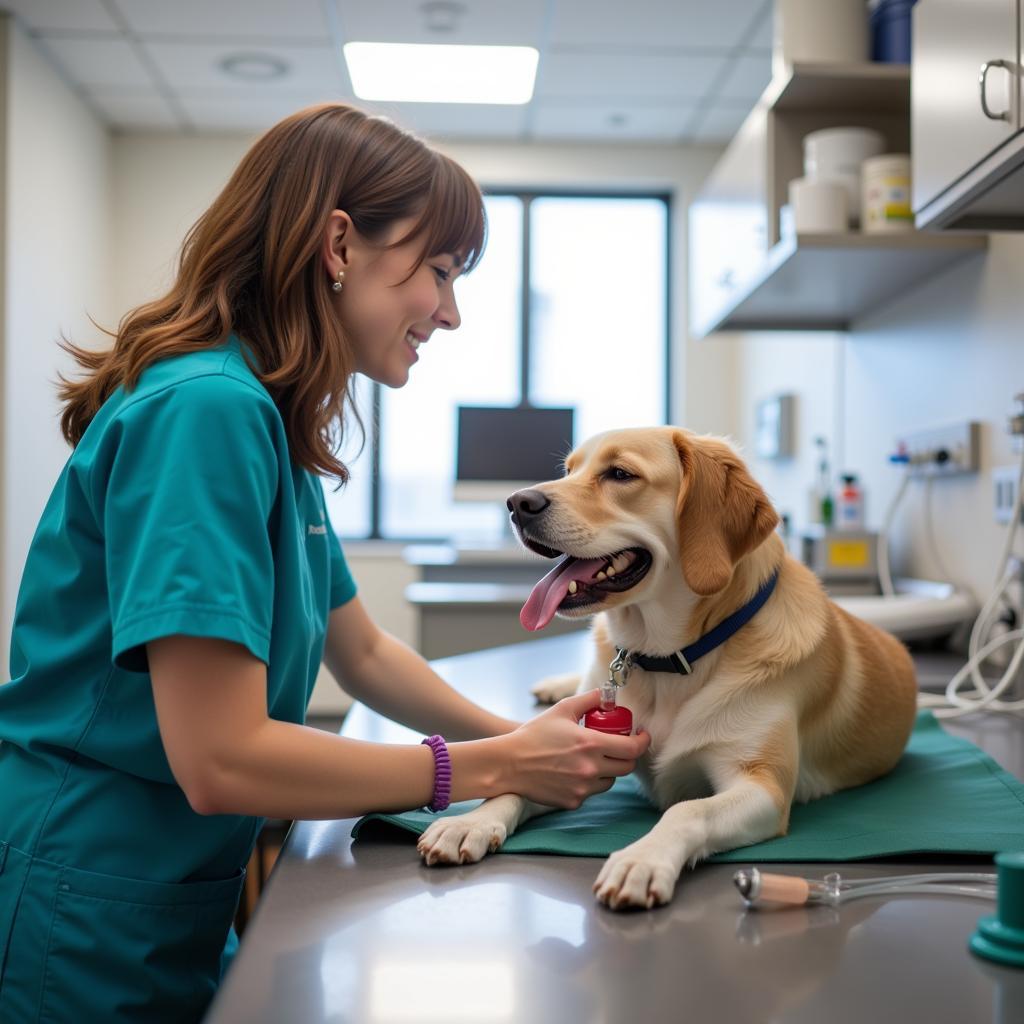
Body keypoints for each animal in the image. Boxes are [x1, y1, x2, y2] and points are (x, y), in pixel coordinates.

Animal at [417, 428, 921, 909]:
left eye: (620, 474)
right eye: (568, 470)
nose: (517, 503)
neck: (664, 660)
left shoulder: (762, 785)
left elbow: (688, 810)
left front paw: (641, 859)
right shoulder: (578, 750)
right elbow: (516, 779)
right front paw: (470, 822)